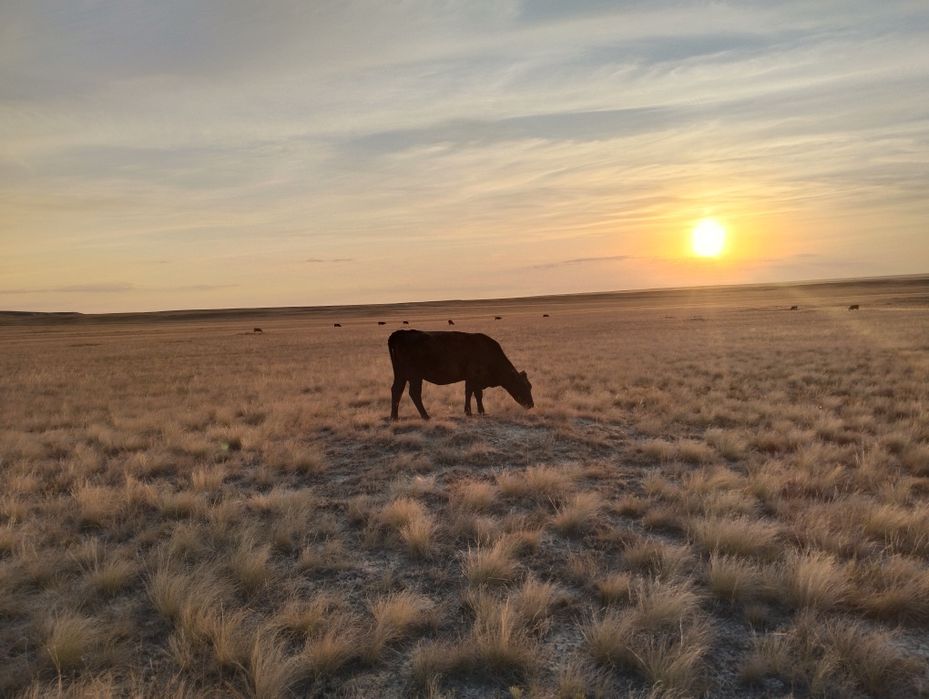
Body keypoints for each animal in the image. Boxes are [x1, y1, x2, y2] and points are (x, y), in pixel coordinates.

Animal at [388, 330, 533, 420]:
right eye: (523, 386)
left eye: (530, 386)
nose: (531, 404)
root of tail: (400, 333)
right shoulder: (473, 378)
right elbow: (474, 394)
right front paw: (473, 412)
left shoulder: (472, 380)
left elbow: (473, 394)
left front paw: (478, 411)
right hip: (415, 376)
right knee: (414, 393)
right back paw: (425, 416)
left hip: (401, 375)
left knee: (396, 390)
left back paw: (394, 417)